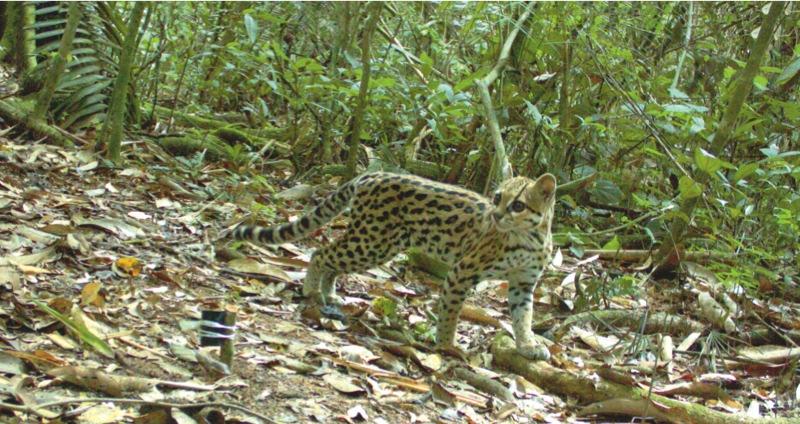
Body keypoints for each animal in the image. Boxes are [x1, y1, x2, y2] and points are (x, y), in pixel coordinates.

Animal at [234, 172, 552, 362]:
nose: (496, 214)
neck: (529, 239)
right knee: (321, 252)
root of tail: (372, 173)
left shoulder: (523, 284)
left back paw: (329, 293)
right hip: (373, 242)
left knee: (331, 257)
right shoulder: (462, 272)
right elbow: (450, 313)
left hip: (371, 242)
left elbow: (523, 317)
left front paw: (527, 345)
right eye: (497, 198)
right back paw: (312, 290)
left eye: (518, 205)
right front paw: (446, 345)